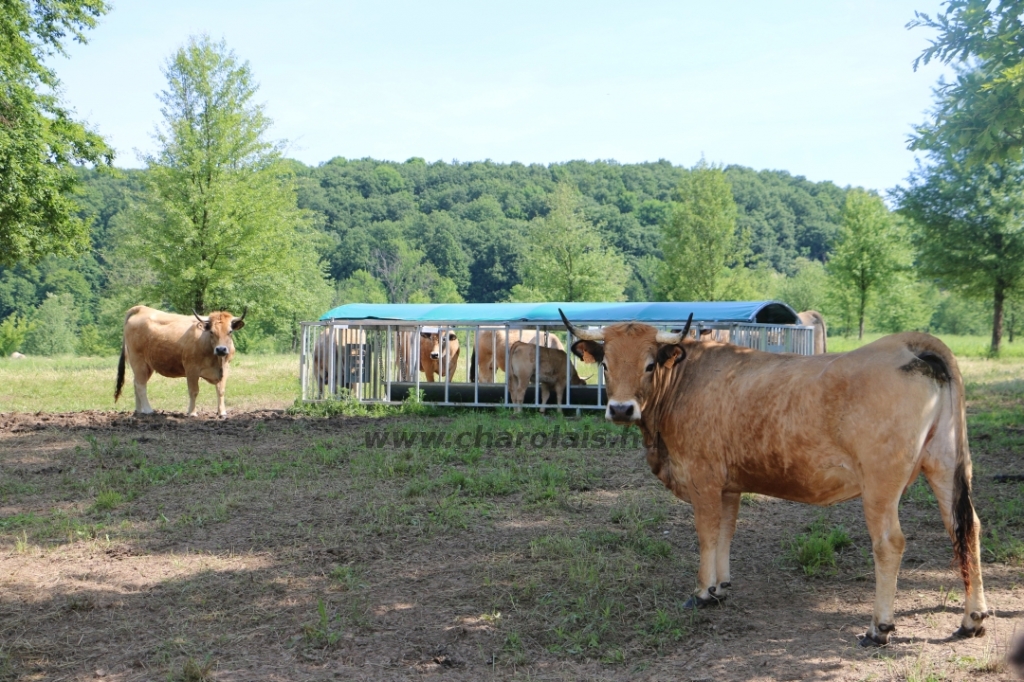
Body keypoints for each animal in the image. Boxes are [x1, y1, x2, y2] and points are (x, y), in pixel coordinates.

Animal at [115, 305, 245, 417]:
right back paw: (148, 410)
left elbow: (221, 390)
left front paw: (222, 412)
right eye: (212, 331)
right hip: (138, 361)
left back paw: (139, 410)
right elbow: (194, 391)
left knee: (136, 383)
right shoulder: (192, 369)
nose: (221, 349)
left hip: (147, 365)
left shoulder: (225, 368)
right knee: (140, 385)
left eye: (230, 331)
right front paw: (192, 413)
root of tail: (142, 308)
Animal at [565, 307, 987, 643]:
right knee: (965, 528)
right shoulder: (729, 485)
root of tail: (907, 344)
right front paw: (720, 586)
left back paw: (878, 628)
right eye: (605, 364)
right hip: (946, 465)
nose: (621, 409)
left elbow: (706, 533)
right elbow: (726, 531)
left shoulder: (703, 478)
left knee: (890, 543)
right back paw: (972, 620)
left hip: (881, 482)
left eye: (650, 364)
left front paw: (702, 592)